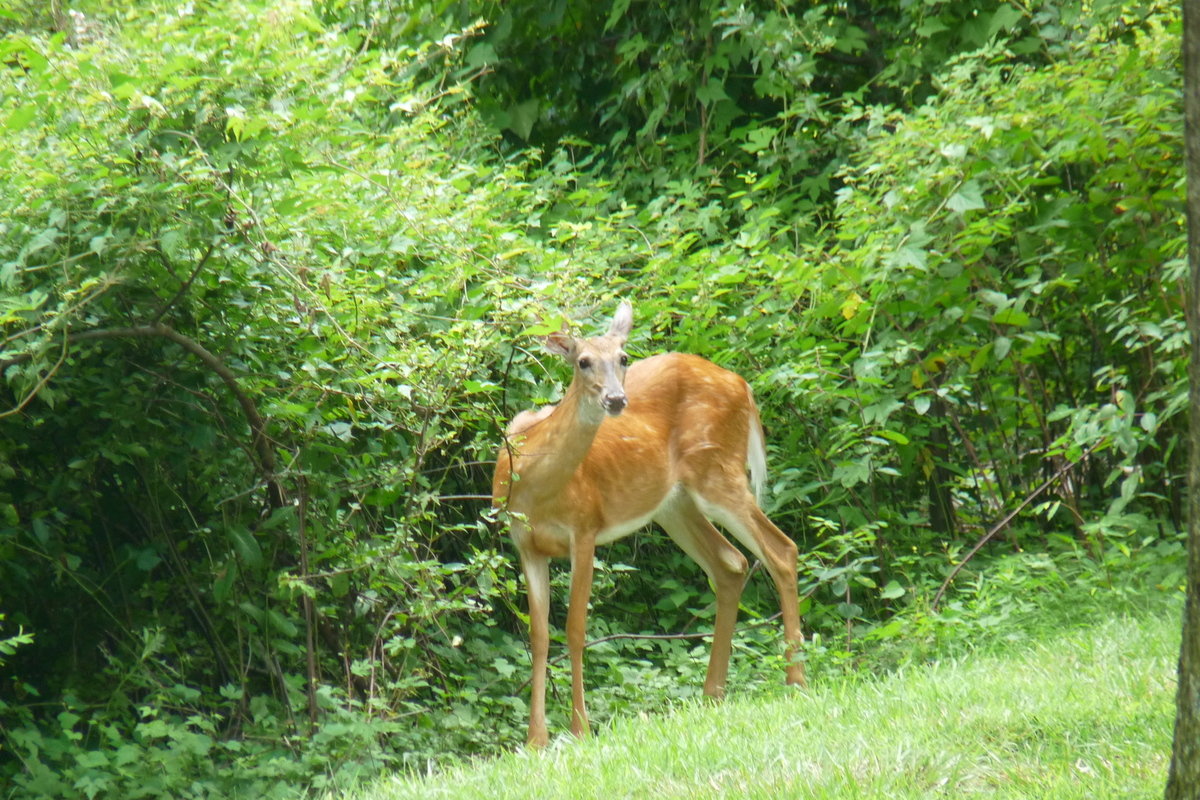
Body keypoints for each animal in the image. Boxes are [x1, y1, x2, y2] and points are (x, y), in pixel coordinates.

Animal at [487, 299, 806, 743]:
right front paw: (536, 740)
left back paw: (795, 681)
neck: (536, 486)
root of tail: (742, 384)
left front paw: (580, 728)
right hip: (675, 504)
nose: (617, 399)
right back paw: (713, 693)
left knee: (781, 549)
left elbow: (575, 629)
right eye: (582, 361)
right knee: (730, 563)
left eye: (623, 358)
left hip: (717, 472)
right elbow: (538, 635)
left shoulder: (585, 529)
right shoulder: (526, 544)